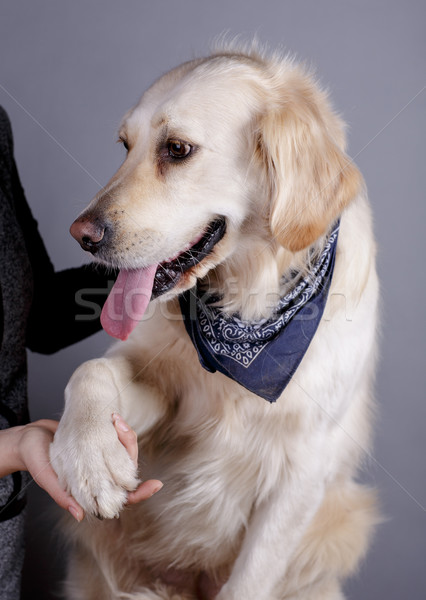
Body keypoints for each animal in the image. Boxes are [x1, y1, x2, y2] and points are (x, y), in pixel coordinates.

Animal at [50, 43, 380, 600]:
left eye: (177, 149)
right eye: (125, 146)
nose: (82, 235)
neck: (245, 315)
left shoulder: (303, 470)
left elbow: (252, 578)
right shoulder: (165, 398)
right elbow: (91, 371)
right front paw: (88, 458)